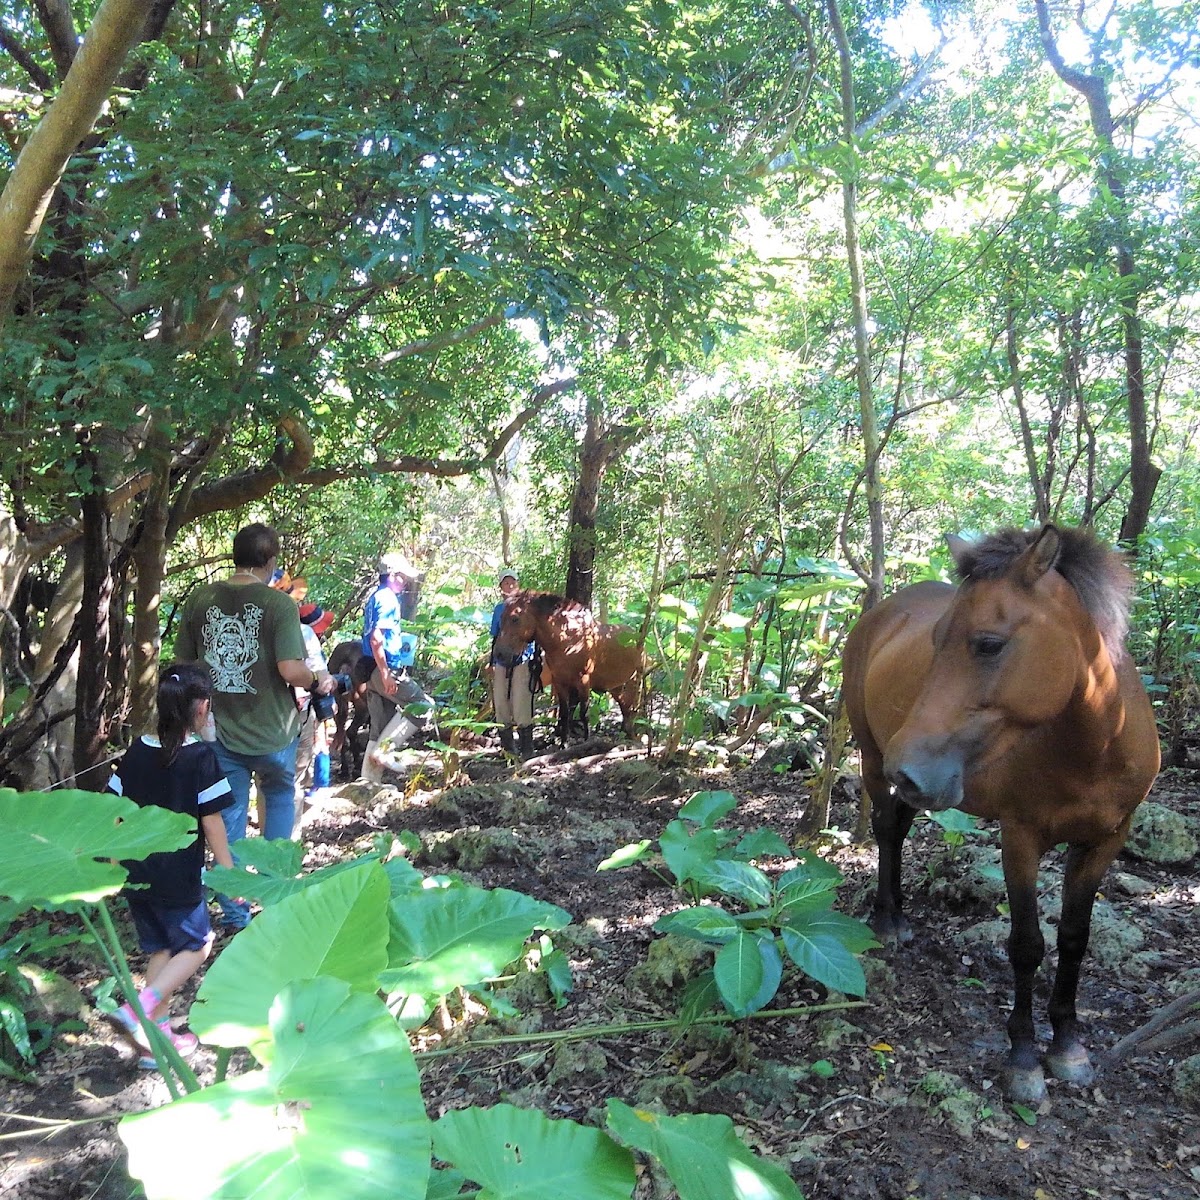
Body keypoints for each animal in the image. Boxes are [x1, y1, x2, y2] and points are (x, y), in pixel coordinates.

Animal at [491, 591, 648, 744]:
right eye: (500, 618)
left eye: (515, 618)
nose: (499, 654)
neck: (568, 640)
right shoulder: (559, 682)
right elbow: (564, 714)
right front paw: (564, 744)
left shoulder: (584, 681)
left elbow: (584, 713)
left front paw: (586, 742)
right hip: (615, 686)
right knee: (625, 706)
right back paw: (626, 733)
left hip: (634, 680)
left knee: (631, 706)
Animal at [842, 524, 1159, 1104]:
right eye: (935, 640)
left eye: (989, 644)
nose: (909, 768)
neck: (1096, 746)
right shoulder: (1020, 839)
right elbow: (1027, 945)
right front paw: (1023, 1058)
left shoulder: (1106, 840)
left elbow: (1075, 939)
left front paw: (1068, 1045)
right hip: (873, 759)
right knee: (885, 829)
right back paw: (887, 919)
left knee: (898, 827)